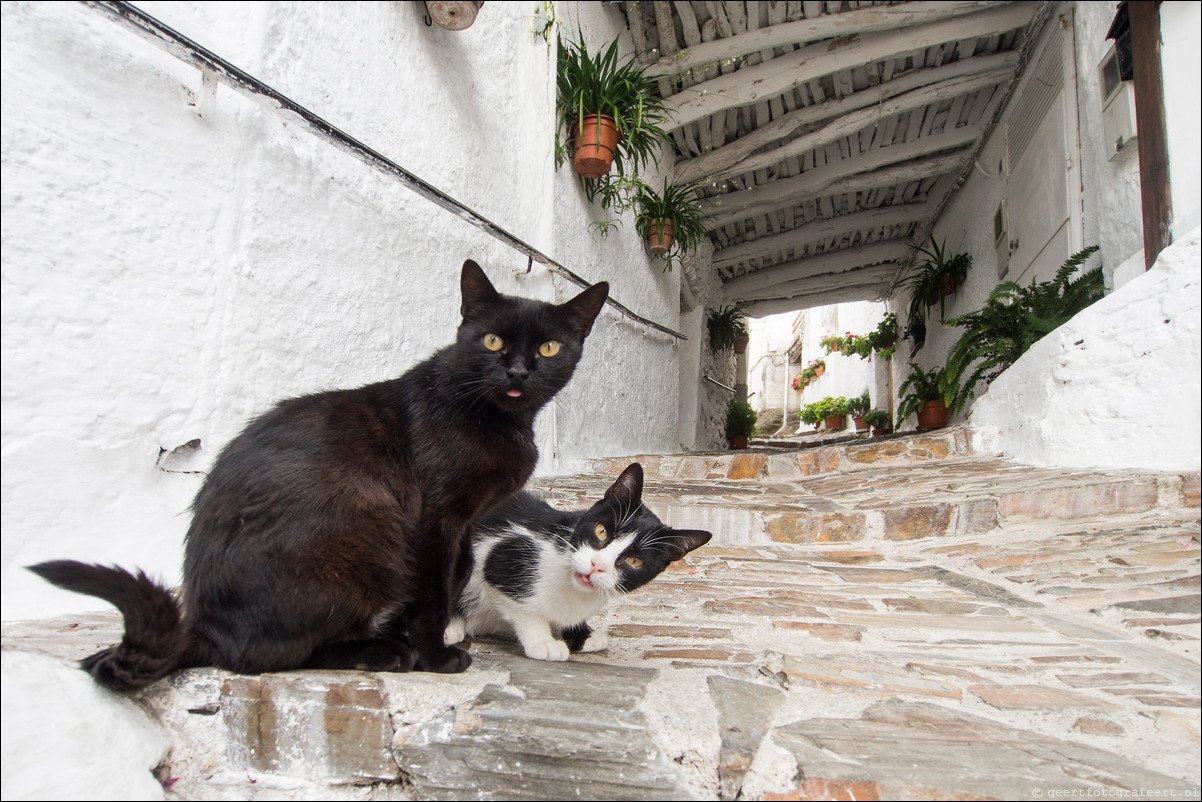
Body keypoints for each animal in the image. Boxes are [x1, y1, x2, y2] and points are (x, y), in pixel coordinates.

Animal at [28, 260, 610, 687]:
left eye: (549, 347)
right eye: (491, 341)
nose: (518, 372)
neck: (499, 418)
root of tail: (204, 629)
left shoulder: (465, 524)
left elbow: (459, 573)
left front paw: (443, 633)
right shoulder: (434, 519)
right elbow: (431, 590)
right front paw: (435, 655)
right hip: (371, 536)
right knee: (269, 656)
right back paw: (384, 653)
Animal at [451, 464, 711, 663]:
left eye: (634, 561)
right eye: (601, 531)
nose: (597, 564)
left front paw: (582, 635)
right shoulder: (501, 553)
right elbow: (524, 610)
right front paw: (543, 641)